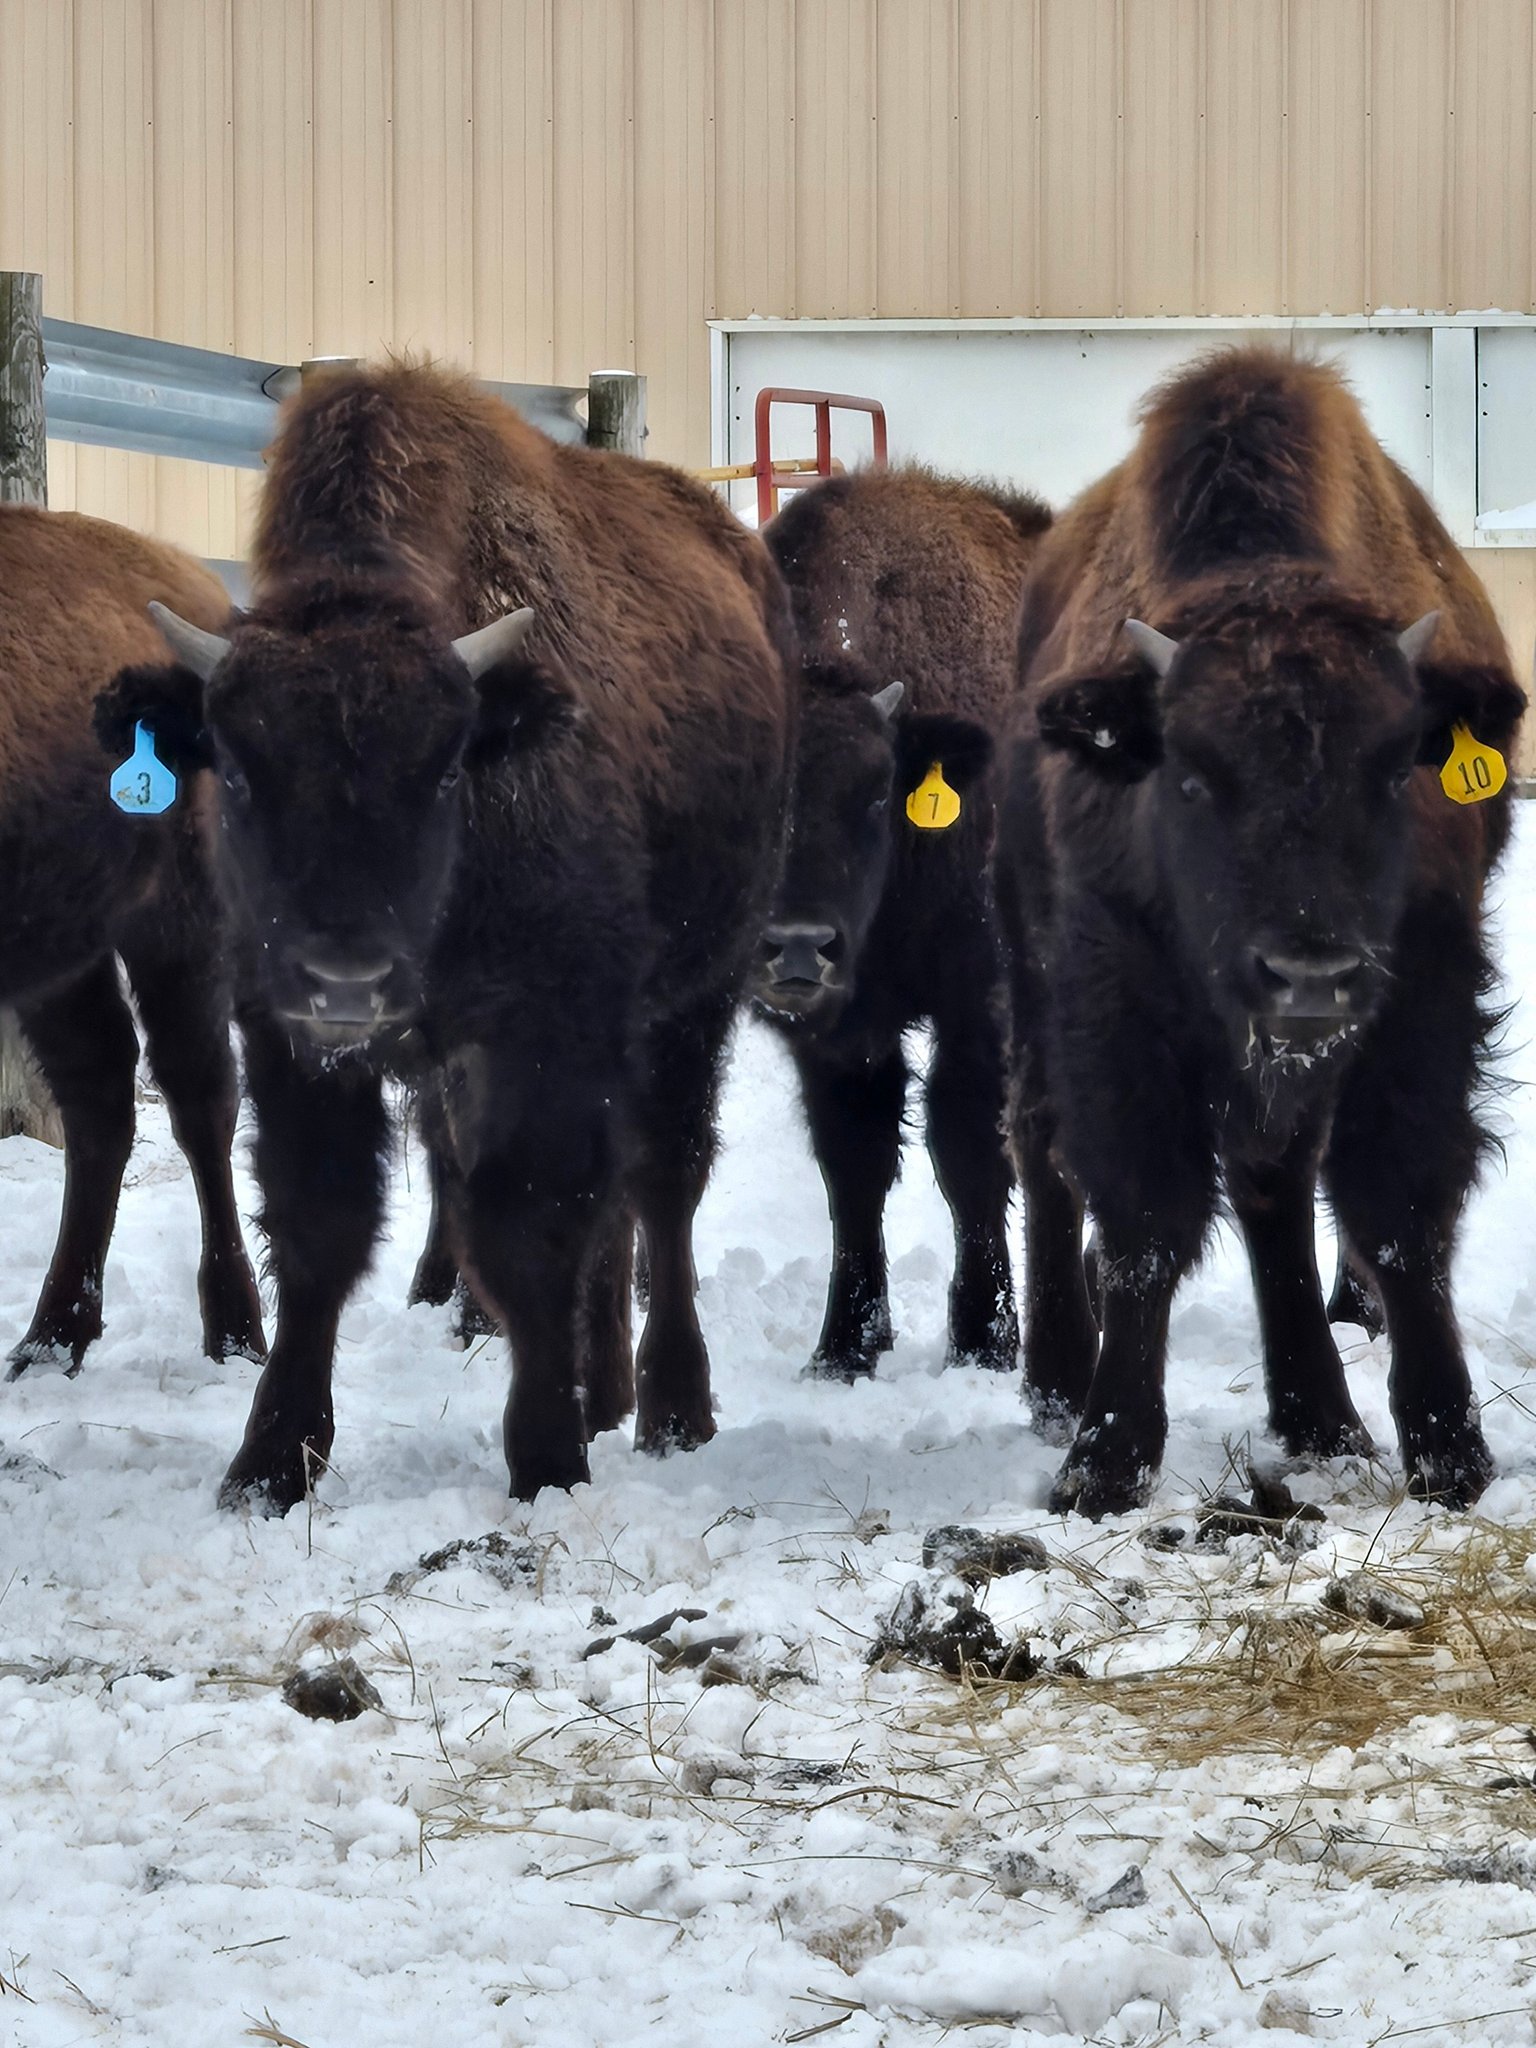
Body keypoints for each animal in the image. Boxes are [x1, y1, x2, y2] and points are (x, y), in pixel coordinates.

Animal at [1, 505, 264, 1375]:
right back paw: (52, 1338)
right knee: (99, 1095)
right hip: (65, 953)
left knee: (198, 1093)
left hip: (177, 919)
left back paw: (237, 1335)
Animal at [98, 361, 794, 1511]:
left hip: (693, 1001)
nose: (348, 980)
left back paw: (669, 1409)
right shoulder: (287, 1035)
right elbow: (321, 1222)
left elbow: (527, 1222)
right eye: (235, 770)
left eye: (443, 768)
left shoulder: (547, 1032)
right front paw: (269, 1462)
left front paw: (546, 1457)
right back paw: (607, 1392)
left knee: (664, 1181)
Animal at [755, 468, 1051, 1377]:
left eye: (875, 795)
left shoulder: (979, 1007)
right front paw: (844, 1348)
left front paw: (985, 1342)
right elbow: (853, 1164)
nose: (798, 949)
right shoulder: (839, 1039)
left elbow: (968, 1152)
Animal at [996, 346, 1525, 1518]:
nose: (1308, 973)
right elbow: (1143, 1222)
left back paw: (1323, 1422)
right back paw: (1055, 1382)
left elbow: (1398, 1207)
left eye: (1395, 770)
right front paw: (1102, 1463)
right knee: (1044, 1151)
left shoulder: (1421, 993)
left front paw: (1450, 1452)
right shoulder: (1114, 1000)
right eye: (1192, 777)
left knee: (1273, 1188)